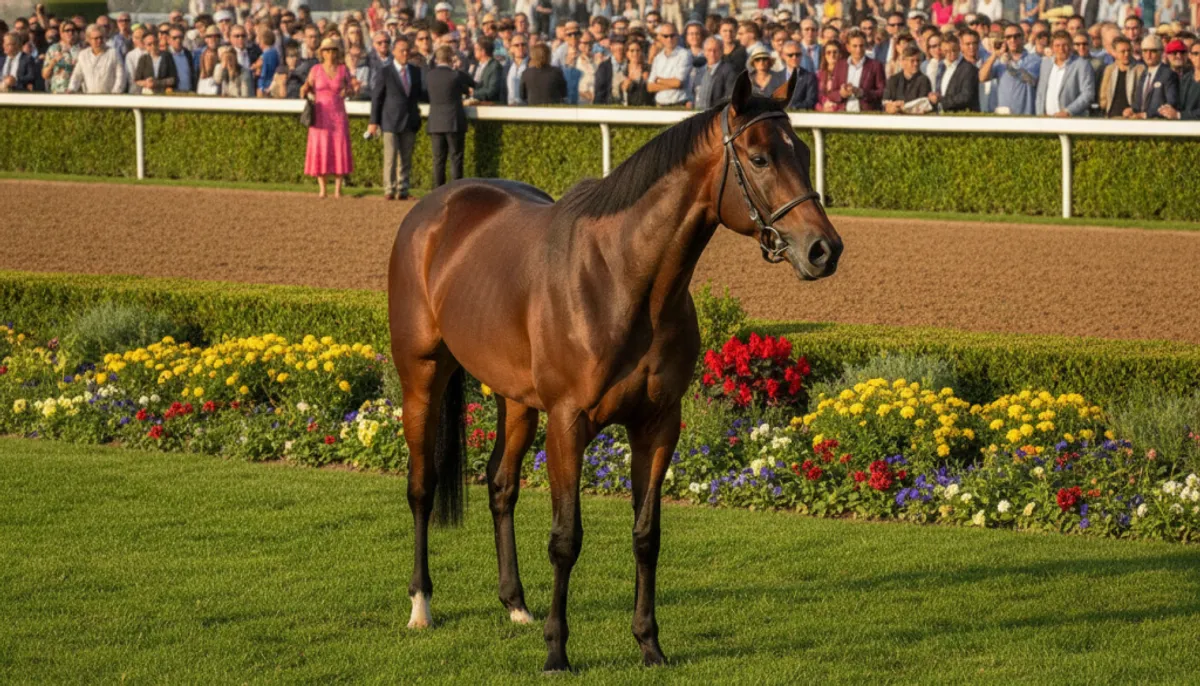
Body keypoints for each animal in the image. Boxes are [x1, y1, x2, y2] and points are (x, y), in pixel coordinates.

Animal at [386, 70, 843, 672]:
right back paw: (421, 606)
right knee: (422, 486)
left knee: (501, 486)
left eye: (801, 151)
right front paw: (557, 650)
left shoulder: (657, 425)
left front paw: (649, 643)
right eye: (761, 157)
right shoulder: (568, 424)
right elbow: (565, 538)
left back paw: (516, 605)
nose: (824, 249)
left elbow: (647, 535)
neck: (623, 280)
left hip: (516, 400)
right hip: (423, 376)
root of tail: (435, 207)